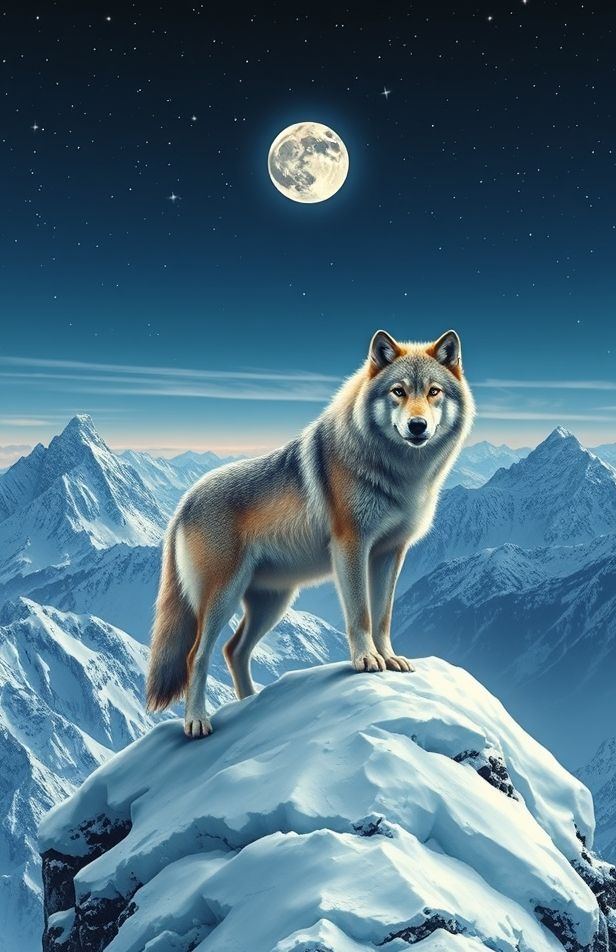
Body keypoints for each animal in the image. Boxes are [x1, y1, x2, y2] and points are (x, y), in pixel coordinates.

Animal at [147, 329, 475, 737]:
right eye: (398, 391)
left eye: (433, 392)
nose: (418, 426)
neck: (399, 474)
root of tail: (183, 503)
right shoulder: (351, 546)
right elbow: (361, 613)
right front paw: (366, 659)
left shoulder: (391, 553)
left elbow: (383, 616)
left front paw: (389, 657)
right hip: (224, 596)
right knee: (197, 655)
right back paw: (197, 722)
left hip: (273, 602)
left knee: (234, 650)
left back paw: (252, 706)